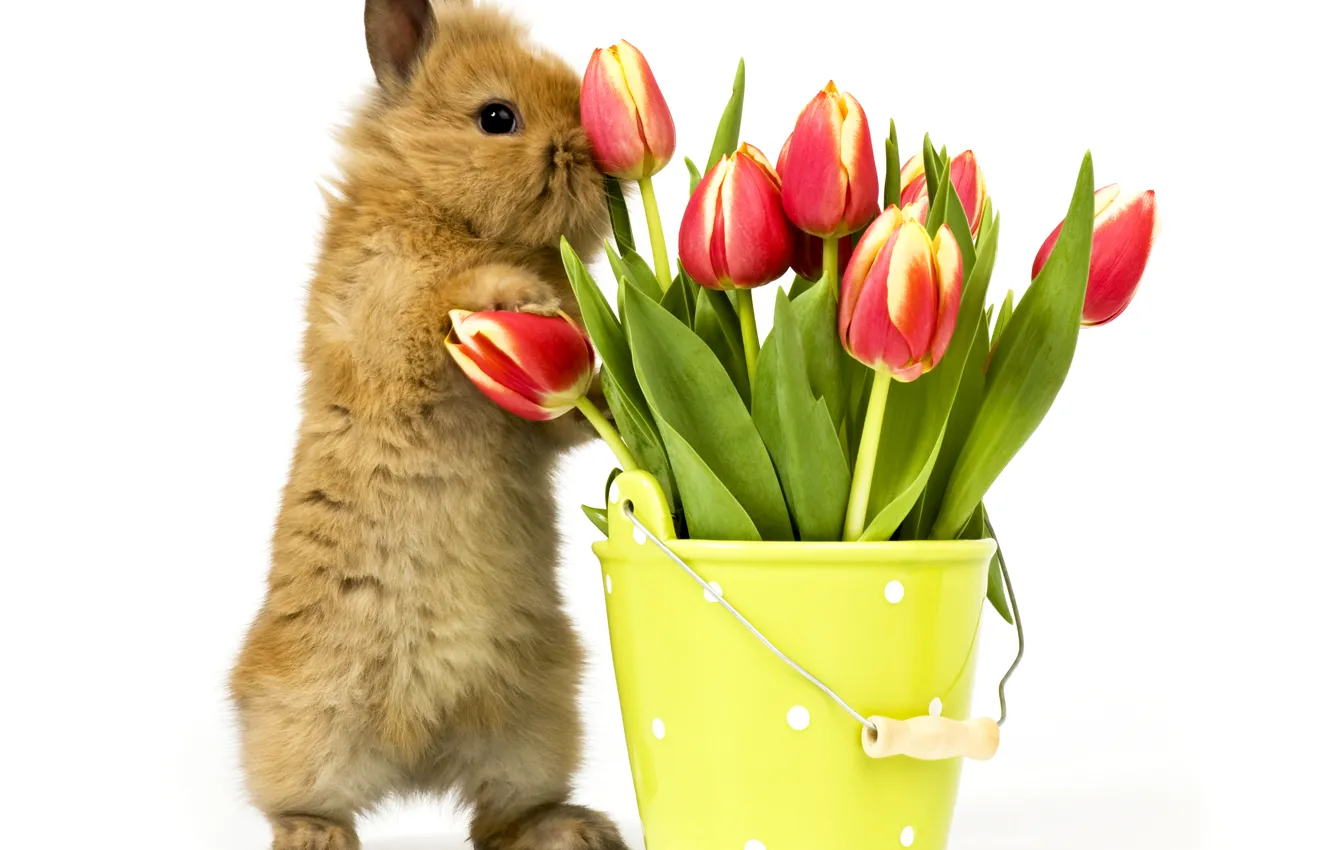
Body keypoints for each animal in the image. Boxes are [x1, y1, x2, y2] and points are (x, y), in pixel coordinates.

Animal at [228, 2, 625, 849]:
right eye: (497, 117)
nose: (602, 168)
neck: (438, 200)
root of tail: (419, 750)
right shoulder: (384, 309)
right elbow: (435, 305)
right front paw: (517, 298)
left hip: (535, 725)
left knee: (500, 818)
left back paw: (573, 829)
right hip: (306, 718)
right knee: (296, 796)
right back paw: (315, 836)